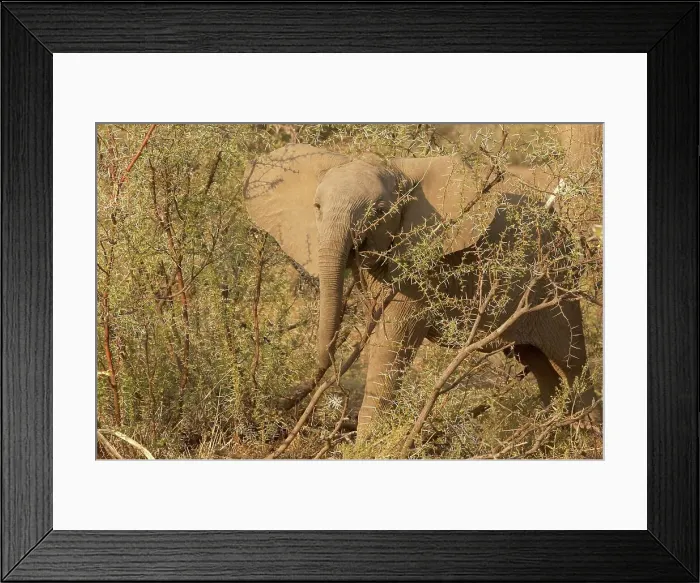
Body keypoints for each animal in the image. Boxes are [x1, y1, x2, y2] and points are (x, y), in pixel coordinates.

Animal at [243, 144, 599, 440]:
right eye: (316, 207)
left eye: (379, 212)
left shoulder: (422, 264)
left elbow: (394, 337)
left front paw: (365, 447)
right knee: (536, 360)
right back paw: (554, 439)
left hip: (556, 282)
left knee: (571, 359)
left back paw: (583, 439)